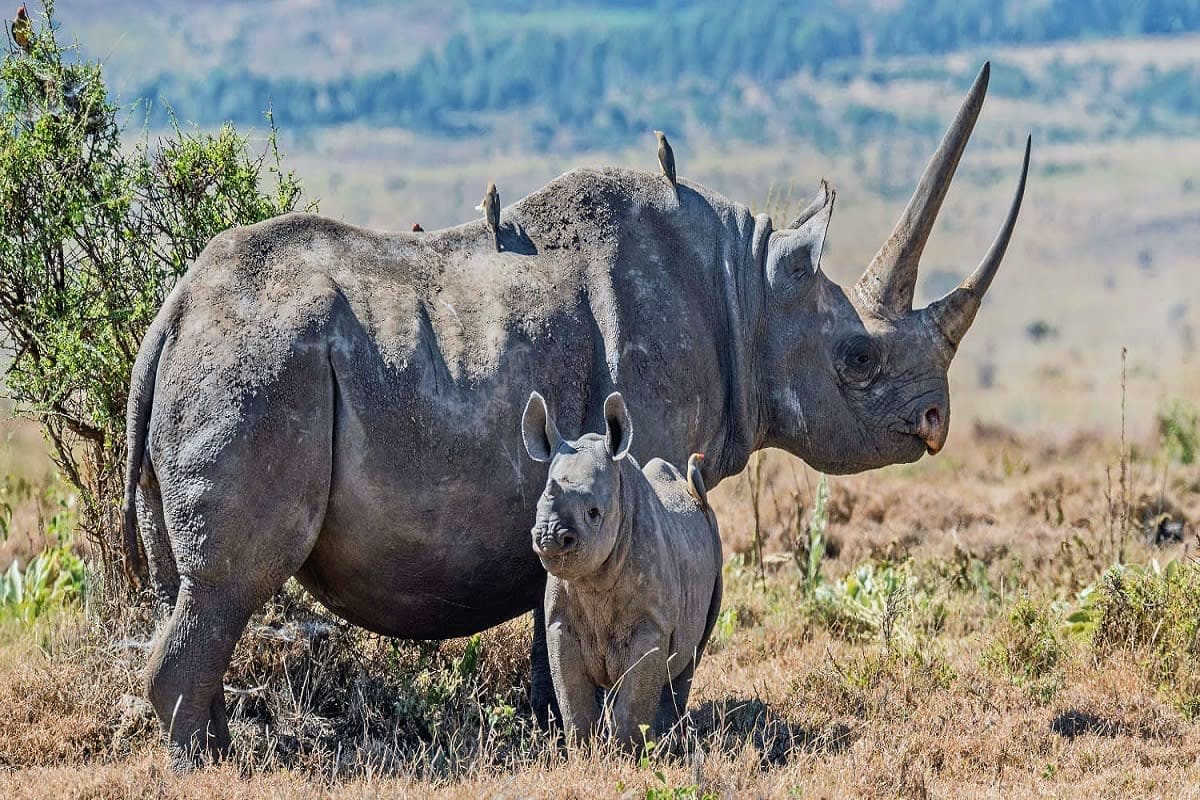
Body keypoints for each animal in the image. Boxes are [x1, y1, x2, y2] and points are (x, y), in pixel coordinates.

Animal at [523, 391, 722, 748]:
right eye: (537, 507)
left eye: (593, 512)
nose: (549, 537)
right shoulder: (560, 622)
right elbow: (573, 701)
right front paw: (584, 752)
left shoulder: (652, 624)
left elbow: (633, 703)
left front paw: (626, 754)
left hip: (714, 548)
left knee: (689, 660)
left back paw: (667, 741)